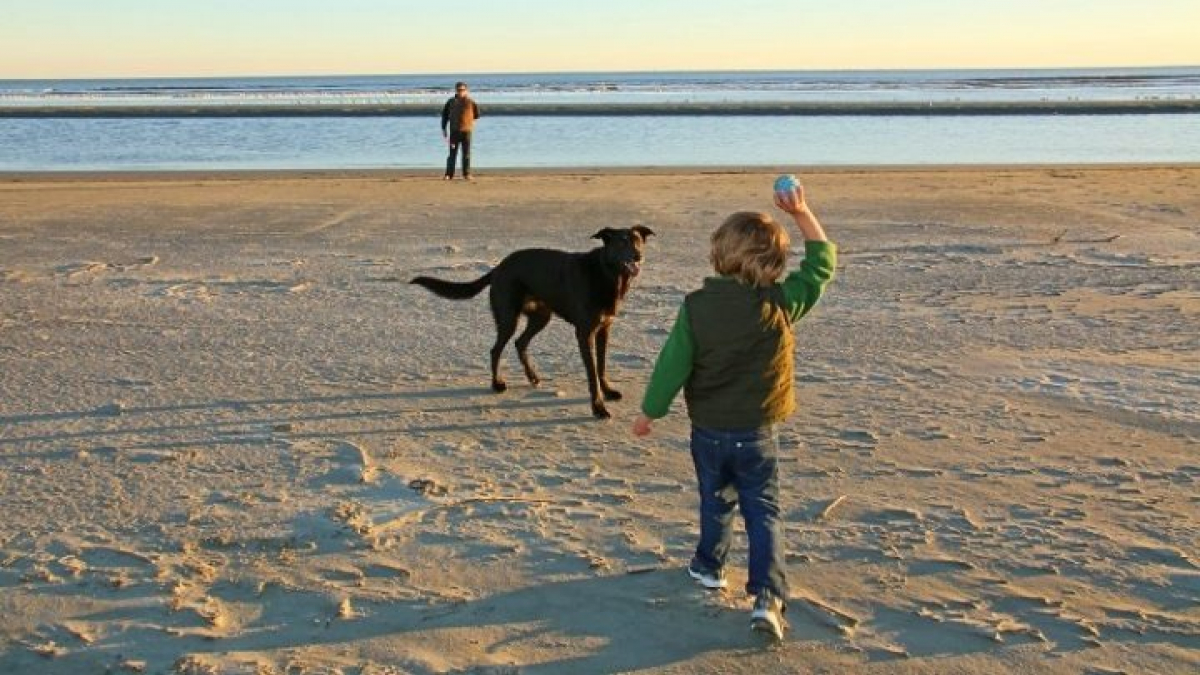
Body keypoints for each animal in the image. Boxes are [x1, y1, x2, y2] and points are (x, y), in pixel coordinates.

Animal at [412, 224, 657, 415]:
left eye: (637, 241)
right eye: (621, 243)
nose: (638, 256)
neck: (607, 274)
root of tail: (498, 267)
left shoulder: (604, 329)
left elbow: (602, 366)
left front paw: (607, 392)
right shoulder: (584, 333)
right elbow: (592, 373)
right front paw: (598, 407)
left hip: (541, 317)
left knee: (520, 343)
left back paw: (533, 377)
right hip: (508, 317)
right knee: (496, 349)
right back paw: (497, 383)